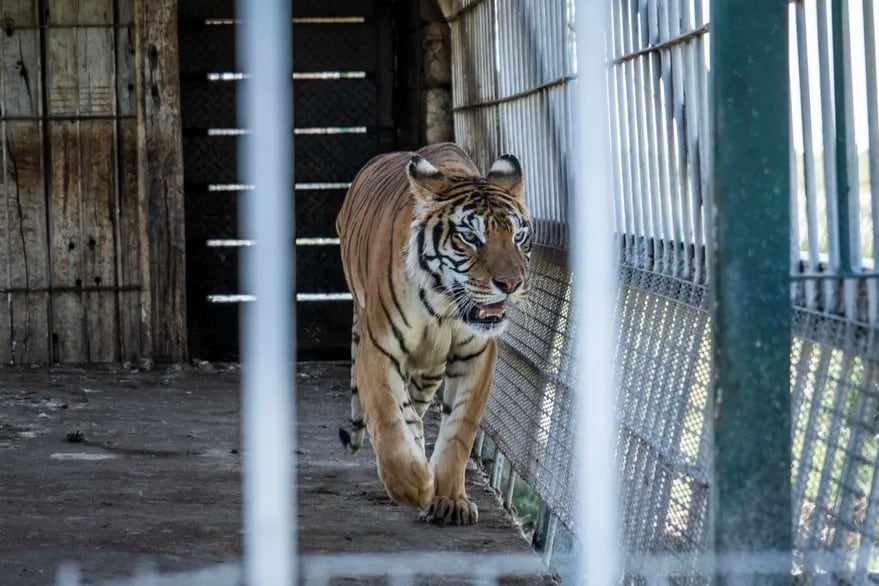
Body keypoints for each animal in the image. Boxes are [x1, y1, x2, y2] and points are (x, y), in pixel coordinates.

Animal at [336, 143, 528, 524]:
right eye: (470, 237)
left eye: (518, 237)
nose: (511, 284)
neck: (444, 306)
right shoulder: (378, 349)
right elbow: (387, 415)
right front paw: (412, 486)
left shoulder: (476, 354)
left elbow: (459, 431)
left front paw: (449, 499)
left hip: (430, 370)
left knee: (416, 404)